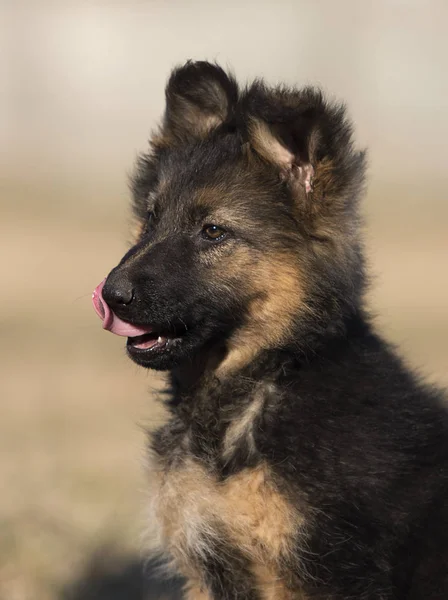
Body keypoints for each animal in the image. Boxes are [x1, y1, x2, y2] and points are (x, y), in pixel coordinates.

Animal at [92, 62, 448, 600]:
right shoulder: (209, 564)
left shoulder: (324, 573)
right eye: (151, 217)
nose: (111, 295)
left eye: (213, 231)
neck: (266, 378)